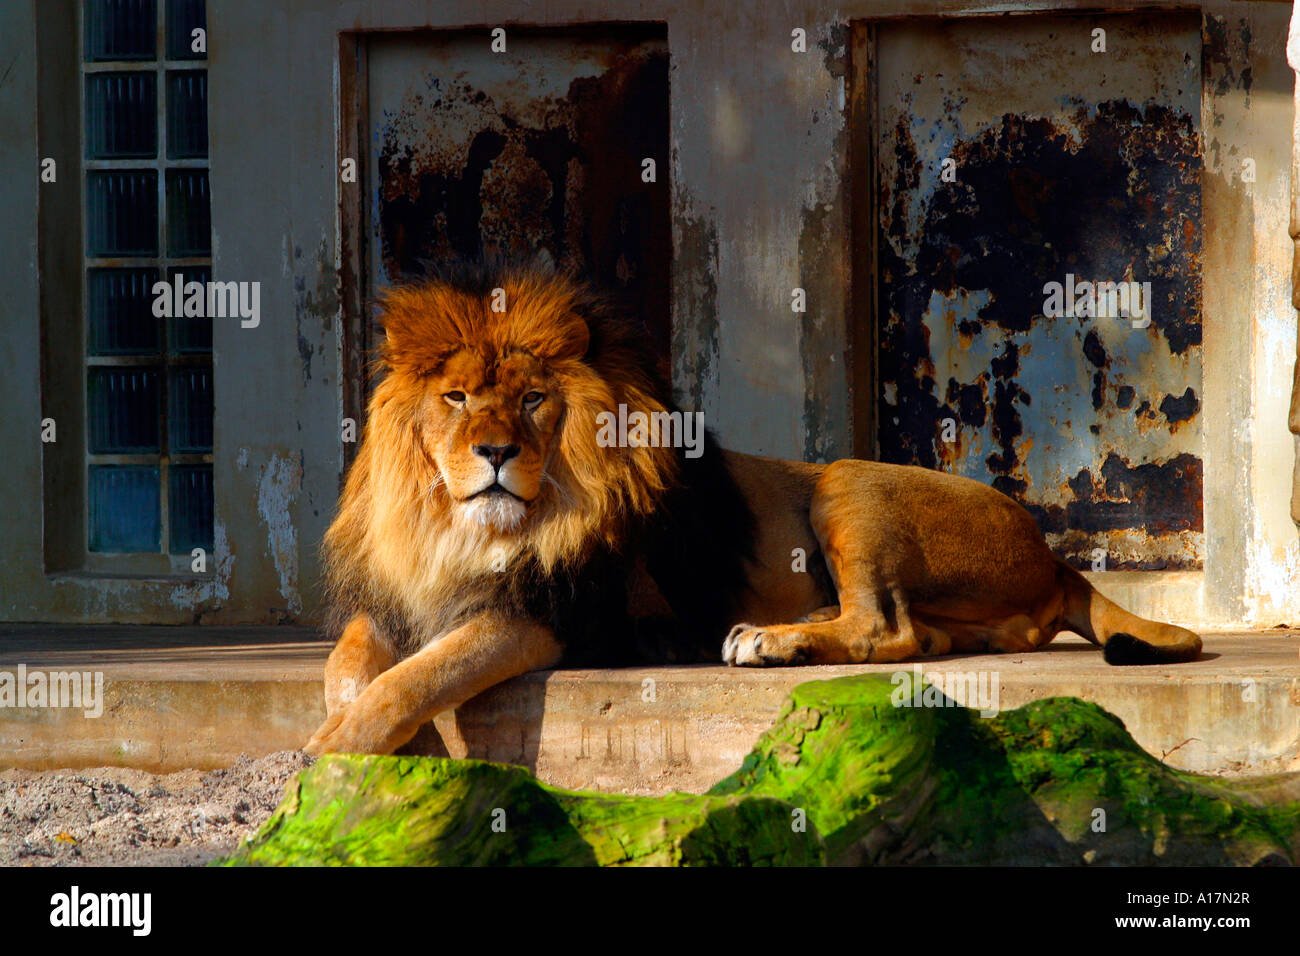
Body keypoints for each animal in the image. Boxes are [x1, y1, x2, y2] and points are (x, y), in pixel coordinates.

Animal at [304, 261, 1196, 754]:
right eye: (455, 398)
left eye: (531, 401)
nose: (495, 453)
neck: (454, 530)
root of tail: (1052, 553)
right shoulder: (395, 600)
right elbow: (349, 666)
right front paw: (374, 738)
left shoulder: (554, 614)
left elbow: (422, 674)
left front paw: (337, 753)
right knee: (920, 635)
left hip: (844, 481)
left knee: (887, 628)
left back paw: (766, 641)